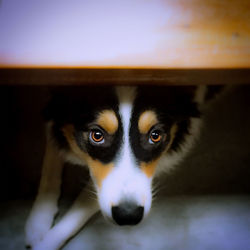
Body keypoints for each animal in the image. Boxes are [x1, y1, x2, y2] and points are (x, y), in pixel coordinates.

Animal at [25, 85, 208, 249]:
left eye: (155, 136)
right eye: (97, 135)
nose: (128, 215)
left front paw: (46, 242)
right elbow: (51, 159)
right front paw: (38, 223)